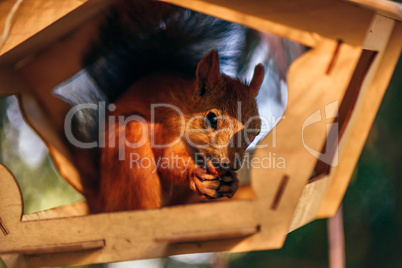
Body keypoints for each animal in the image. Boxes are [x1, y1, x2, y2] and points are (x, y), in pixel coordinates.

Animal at [94, 51, 264, 213]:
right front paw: (194, 172)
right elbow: (167, 160)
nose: (232, 165)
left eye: (256, 131)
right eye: (212, 118)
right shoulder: (166, 126)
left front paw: (233, 182)